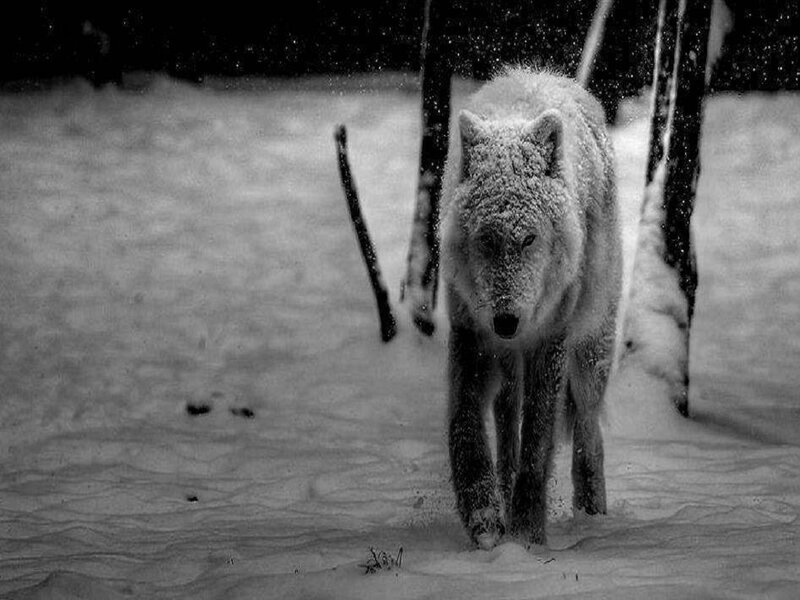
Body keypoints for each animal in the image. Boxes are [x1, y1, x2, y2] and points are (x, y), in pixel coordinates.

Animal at [439, 67, 622, 549]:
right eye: (486, 239)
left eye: (528, 239)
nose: (506, 321)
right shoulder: (470, 333)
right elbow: (464, 423)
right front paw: (484, 516)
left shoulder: (548, 342)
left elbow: (538, 443)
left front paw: (526, 533)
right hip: (508, 368)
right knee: (507, 426)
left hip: (589, 354)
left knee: (588, 432)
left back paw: (592, 514)